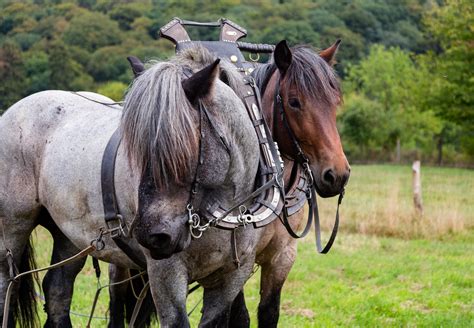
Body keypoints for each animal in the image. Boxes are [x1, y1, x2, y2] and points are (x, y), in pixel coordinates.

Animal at [0, 50, 262, 326]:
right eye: (136, 149)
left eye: (182, 147)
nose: (151, 236)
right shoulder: (166, 274)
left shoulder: (232, 278)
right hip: (12, 229)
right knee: (7, 284)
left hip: (69, 234)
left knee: (57, 290)